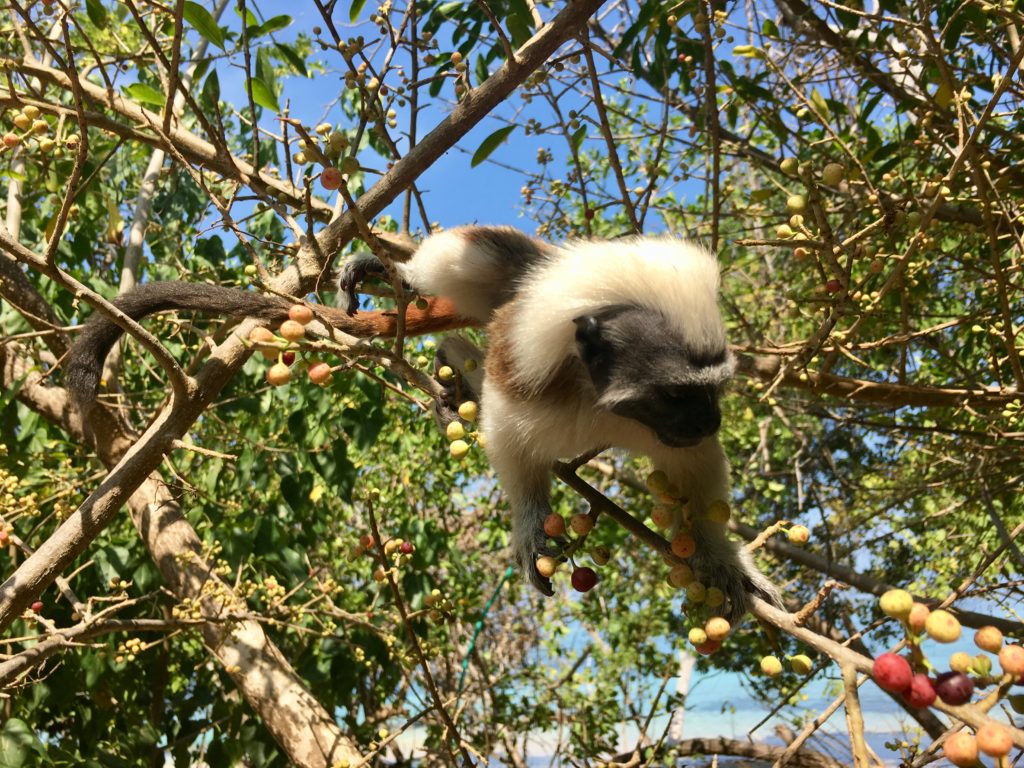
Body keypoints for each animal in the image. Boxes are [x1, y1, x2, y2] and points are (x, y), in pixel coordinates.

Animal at [68, 225, 778, 622]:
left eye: (713, 392)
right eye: (679, 395)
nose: (712, 416)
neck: (599, 399)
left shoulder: (657, 432)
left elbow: (693, 466)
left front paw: (718, 556)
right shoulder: (530, 382)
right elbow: (511, 446)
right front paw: (530, 526)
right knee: (475, 257)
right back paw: (402, 281)